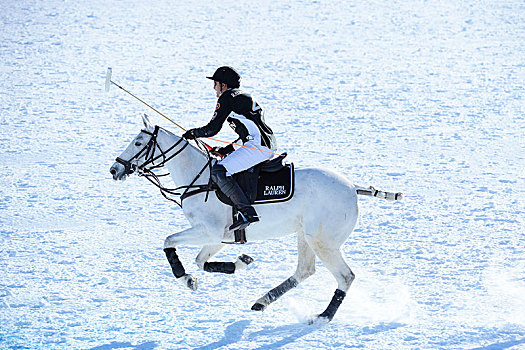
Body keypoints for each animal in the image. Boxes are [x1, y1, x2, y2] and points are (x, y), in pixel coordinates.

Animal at [108, 115, 400, 322]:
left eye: (138, 142)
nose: (114, 169)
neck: (199, 177)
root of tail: (353, 187)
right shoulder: (219, 237)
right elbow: (201, 261)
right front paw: (241, 262)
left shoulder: (209, 231)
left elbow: (169, 242)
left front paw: (186, 279)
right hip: (305, 236)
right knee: (305, 270)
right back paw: (262, 301)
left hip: (323, 241)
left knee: (345, 277)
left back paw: (322, 317)